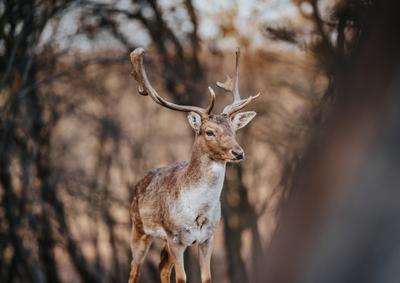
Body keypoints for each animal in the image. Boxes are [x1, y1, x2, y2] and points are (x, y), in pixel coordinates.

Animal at [127, 47, 260, 283]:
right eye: (209, 132)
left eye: (234, 131)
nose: (238, 153)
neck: (198, 213)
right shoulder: (176, 237)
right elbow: (182, 279)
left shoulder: (208, 237)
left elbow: (206, 278)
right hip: (139, 228)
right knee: (134, 269)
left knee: (162, 267)